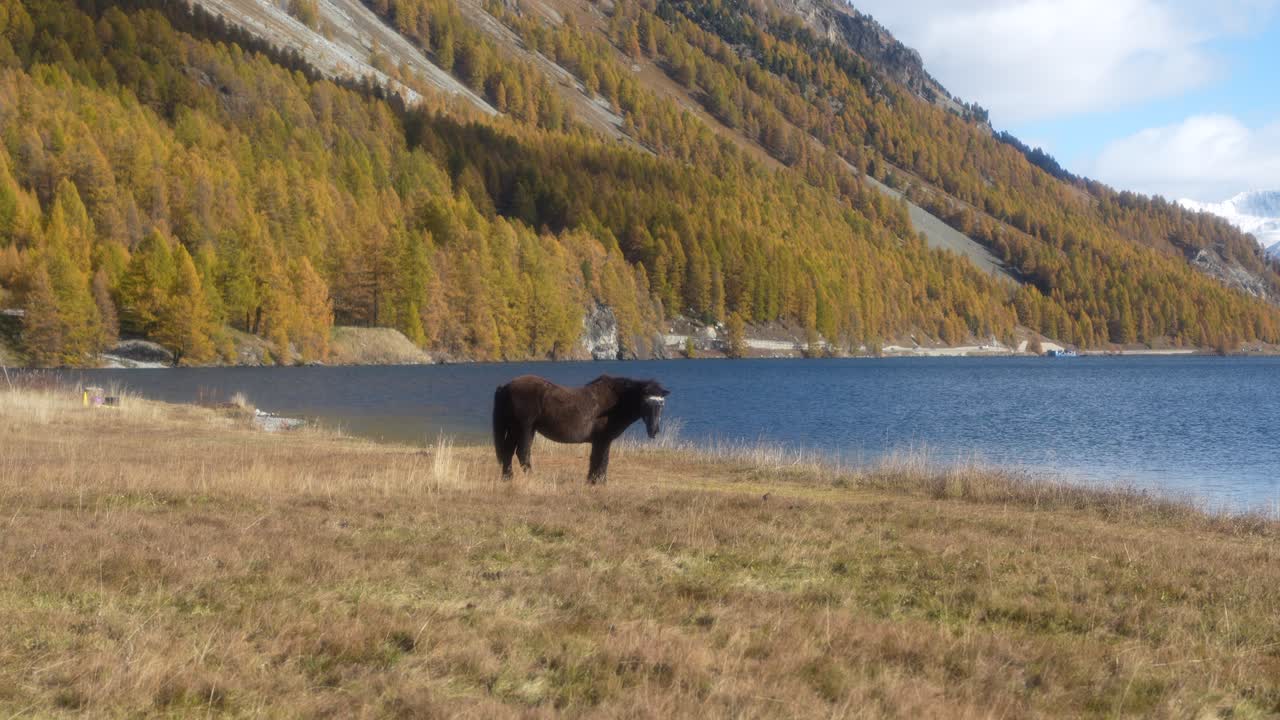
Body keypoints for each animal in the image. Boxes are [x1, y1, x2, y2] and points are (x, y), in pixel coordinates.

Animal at [492, 374, 671, 483]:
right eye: (646, 403)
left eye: (661, 404)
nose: (654, 431)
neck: (615, 403)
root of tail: (506, 386)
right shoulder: (603, 439)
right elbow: (601, 459)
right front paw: (597, 481)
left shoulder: (601, 441)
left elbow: (598, 459)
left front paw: (594, 481)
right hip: (524, 429)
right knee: (522, 453)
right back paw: (531, 478)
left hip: (515, 429)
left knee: (508, 452)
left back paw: (507, 478)